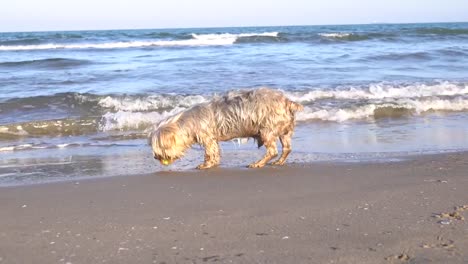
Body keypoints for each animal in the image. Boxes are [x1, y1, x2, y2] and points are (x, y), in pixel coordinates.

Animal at [149, 87, 304, 169]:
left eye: (160, 148)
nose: (156, 157)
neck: (188, 123)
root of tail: (287, 101)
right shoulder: (212, 139)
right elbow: (215, 151)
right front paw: (213, 163)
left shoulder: (207, 137)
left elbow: (209, 152)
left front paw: (206, 165)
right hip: (285, 128)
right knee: (287, 148)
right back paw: (279, 162)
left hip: (268, 129)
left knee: (272, 150)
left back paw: (258, 163)